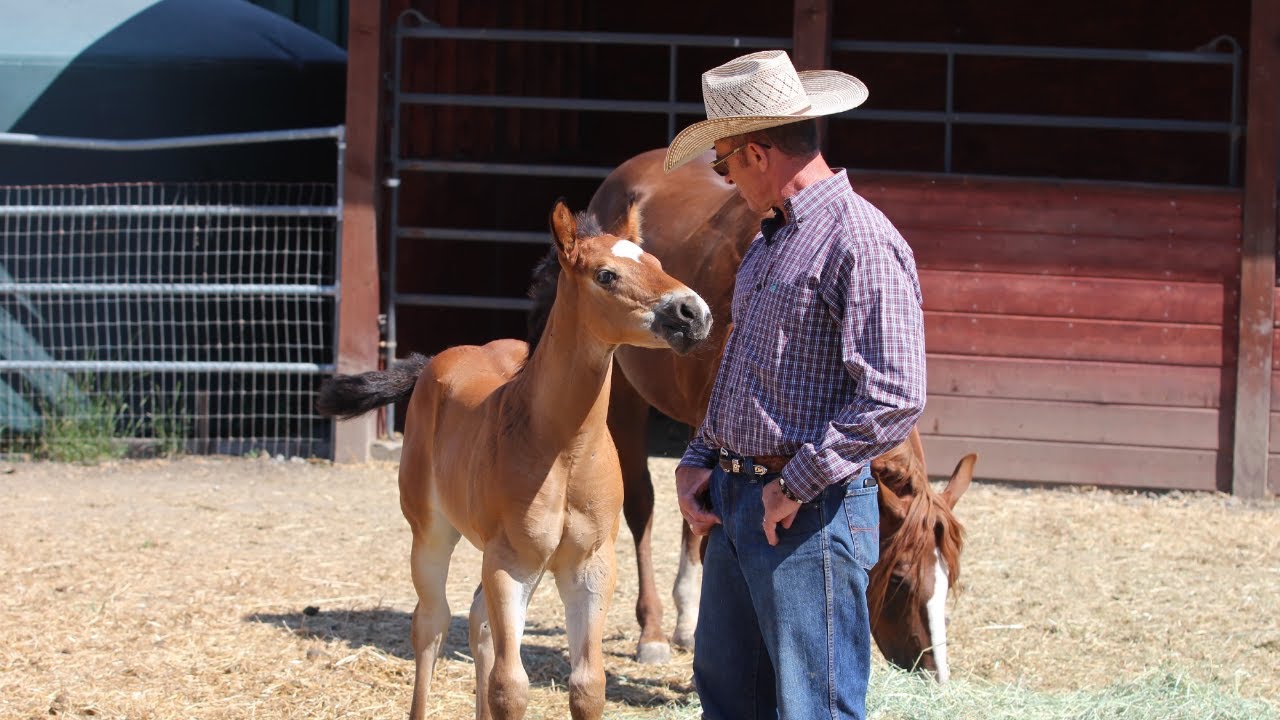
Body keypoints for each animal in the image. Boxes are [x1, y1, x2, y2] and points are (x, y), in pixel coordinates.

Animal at [317, 199, 712, 720]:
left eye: (657, 263)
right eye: (606, 275)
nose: (694, 312)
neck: (563, 450)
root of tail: (432, 365)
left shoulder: (591, 566)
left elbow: (587, 685)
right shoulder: (512, 563)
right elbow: (511, 687)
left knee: (478, 620)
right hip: (430, 532)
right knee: (432, 623)